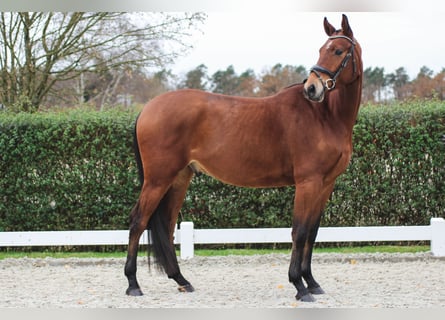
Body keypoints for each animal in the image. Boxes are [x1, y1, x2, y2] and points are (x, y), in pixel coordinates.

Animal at [124, 13, 360, 302]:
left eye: (338, 50)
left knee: (167, 227)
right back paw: (133, 283)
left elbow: (312, 233)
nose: (312, 88)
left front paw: (312, 282)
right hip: (158, 179)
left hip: (179, 179)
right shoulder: (308, 183)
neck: (325, 116)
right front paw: (299, 285)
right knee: (138, 222)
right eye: (321, 50)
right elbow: (300, 231)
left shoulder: (326, 184)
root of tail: (148, 108)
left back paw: (181, 280)